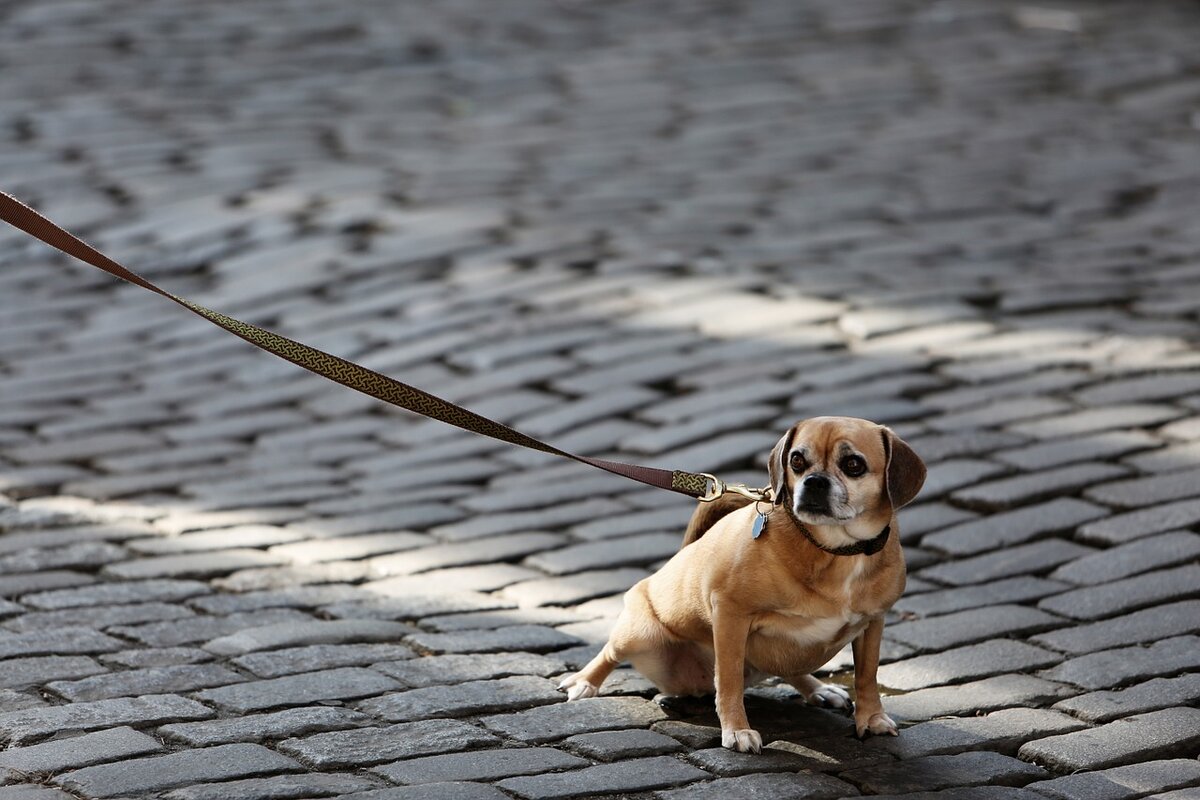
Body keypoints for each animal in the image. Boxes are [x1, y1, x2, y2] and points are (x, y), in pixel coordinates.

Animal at [559, 419, 926, 753]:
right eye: (797, 461)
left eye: (853, 465)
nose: (814, 482)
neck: (834, 550)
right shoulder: (731, 614)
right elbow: (729, 679)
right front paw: (736, 730)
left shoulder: (873, 623)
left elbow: (867, 675)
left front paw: (872, 718)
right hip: (639, 635)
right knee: (609, 652)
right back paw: (584, 682)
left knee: (790, 668)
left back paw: (818, 689)